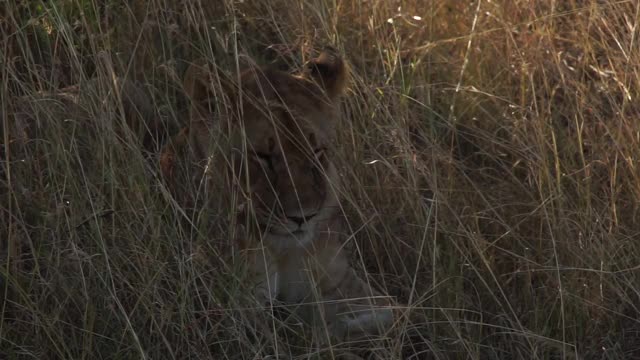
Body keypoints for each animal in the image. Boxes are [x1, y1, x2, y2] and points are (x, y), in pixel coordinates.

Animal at [162, 48, 396, 340]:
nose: (303, 217)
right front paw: (322, 333)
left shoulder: (341, 283)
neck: (284, 252)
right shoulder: (238, 310)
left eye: (316, 151)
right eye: (263, 156)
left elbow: (399, 314)